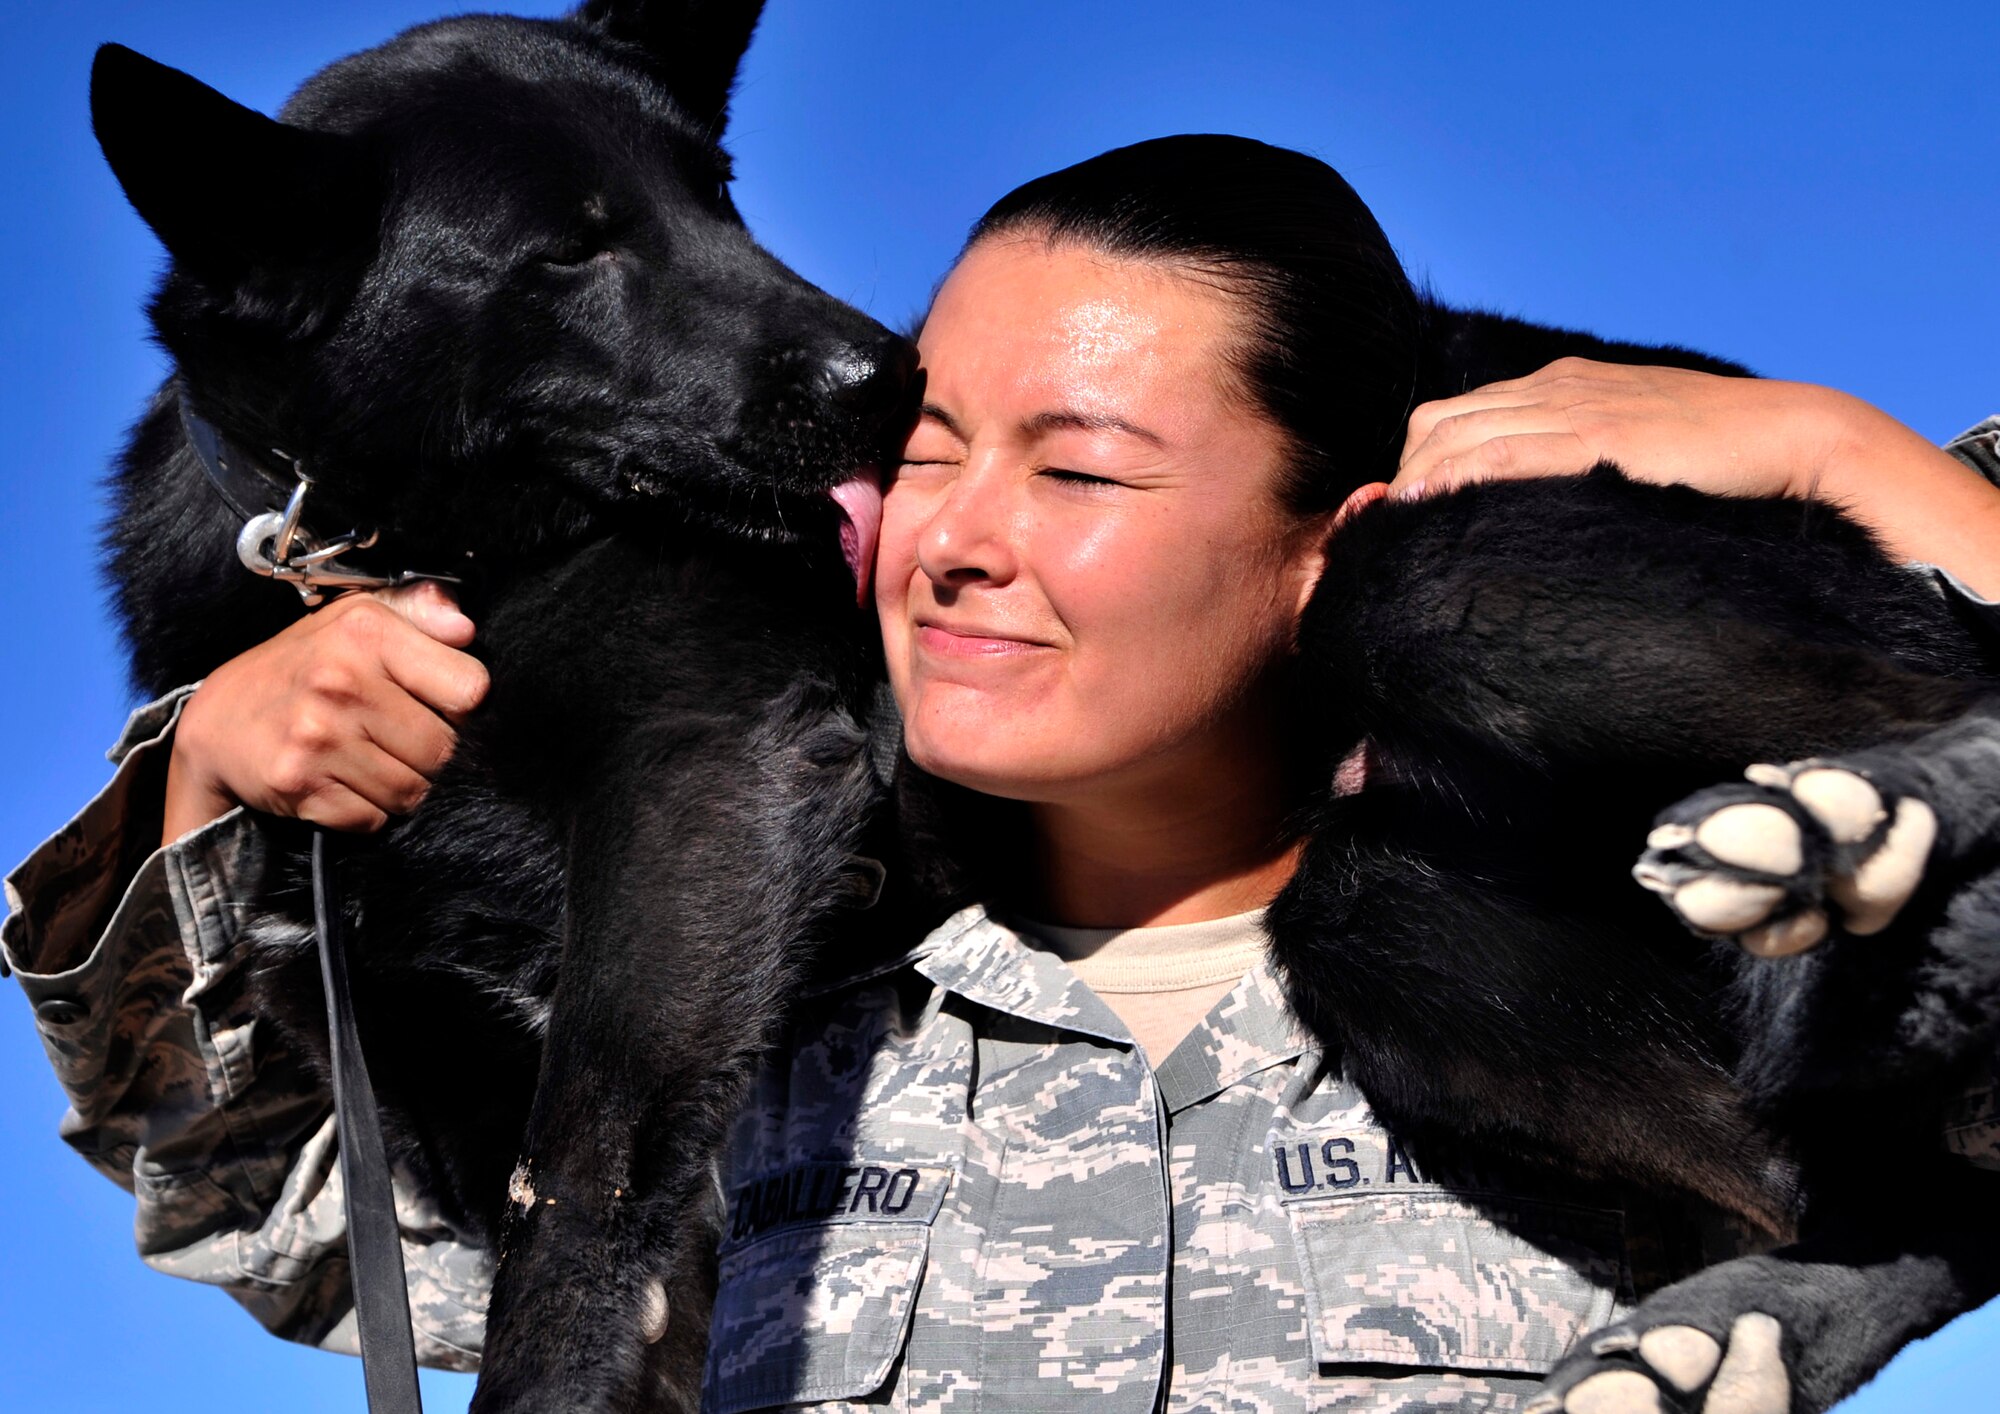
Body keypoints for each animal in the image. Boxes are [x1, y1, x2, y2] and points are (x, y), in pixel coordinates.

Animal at [78, 5, 920, 1408]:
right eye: (571, 246)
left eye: (718, 195)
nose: (899, 378)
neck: (429, 568)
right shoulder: (407, 1043)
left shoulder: (699, 790)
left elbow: (575, 1196)